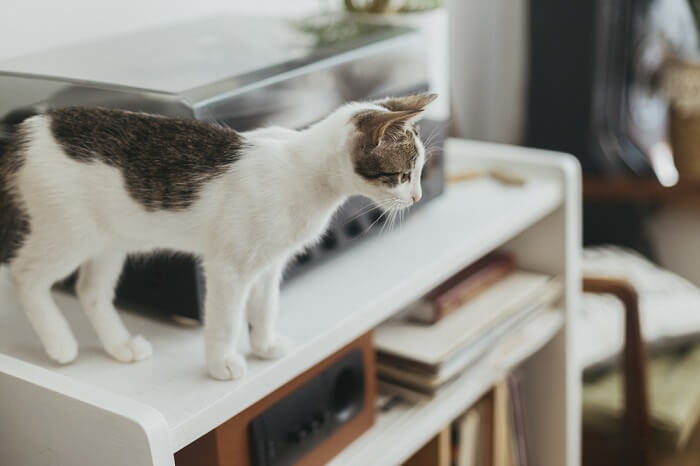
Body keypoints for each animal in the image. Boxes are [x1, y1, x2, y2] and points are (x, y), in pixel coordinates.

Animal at [0, 93, 434, 380]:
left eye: (419, 171)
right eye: (401, 175)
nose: (417, 197)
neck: (303, 169)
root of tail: (28, 128)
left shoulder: (269, 264)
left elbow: (264, 307)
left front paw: (263, 345)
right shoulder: (230, 266)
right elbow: (226, 320)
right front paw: (222, 363)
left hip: (110, 240)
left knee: (90, 290)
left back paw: (119, 346)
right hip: (68, 233)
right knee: (25, 276)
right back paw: (60, 343)